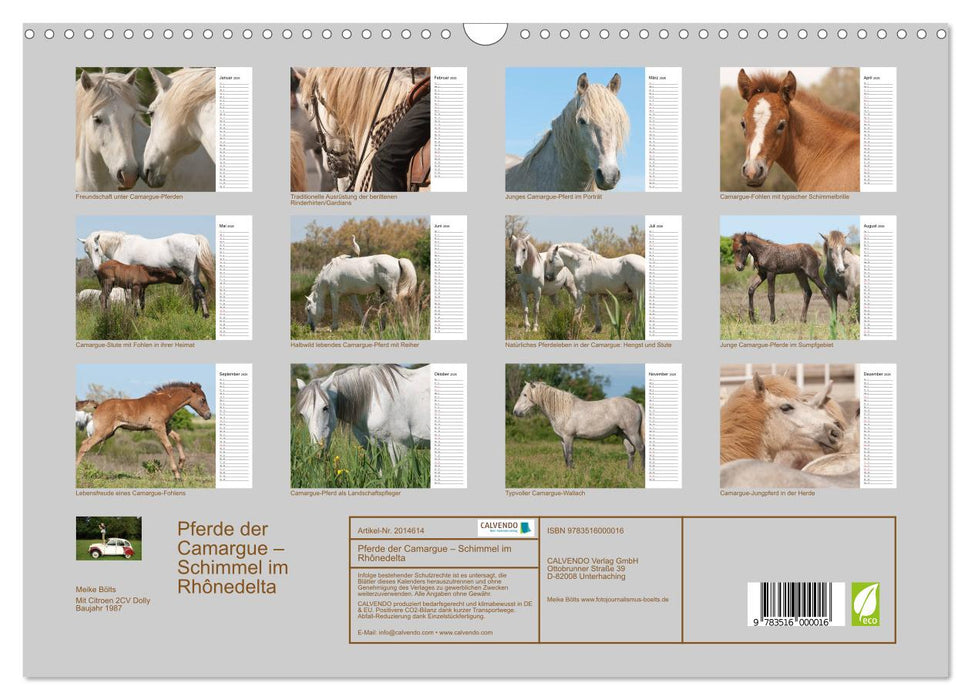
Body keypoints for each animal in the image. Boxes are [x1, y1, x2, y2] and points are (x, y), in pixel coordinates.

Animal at [75, 382, 212, 481]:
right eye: (202, 399)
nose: (209, 415)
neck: (164, 402)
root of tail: (98, 406)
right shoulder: (158, 427)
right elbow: (168, 446)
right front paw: (177, 475)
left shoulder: (165, 426)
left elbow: (178, 437)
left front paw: (181, 465)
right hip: (103, 432)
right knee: (85, 445)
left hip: (107, 433)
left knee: (84, 443)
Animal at [78, 230, 215, 318]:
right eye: (86, 251)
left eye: (96, 249)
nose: (96, 269)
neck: (120, 245)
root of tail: (195, 238)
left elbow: (129, 299)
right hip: (193, 273)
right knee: (195, 291)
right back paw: (195, 312)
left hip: (191, 272)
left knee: (200, 290)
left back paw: (205, 314)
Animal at [294, 364, 430, 468]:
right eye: (302, 414)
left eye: (325, 408)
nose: (318, 452)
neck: (372, 402)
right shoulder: (372, 448)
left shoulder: (400, 447)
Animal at [512, 381, 645, 470]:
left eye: (524, 394)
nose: (515, 412)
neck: (563, 410)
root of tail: (636, 404)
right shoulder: (562, 439)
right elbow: (565, 456)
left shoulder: (569, 437)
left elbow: (570, 455)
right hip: (623, 434)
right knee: (631, 451)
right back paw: (629, 471)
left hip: (632, 433)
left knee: (641, 448)